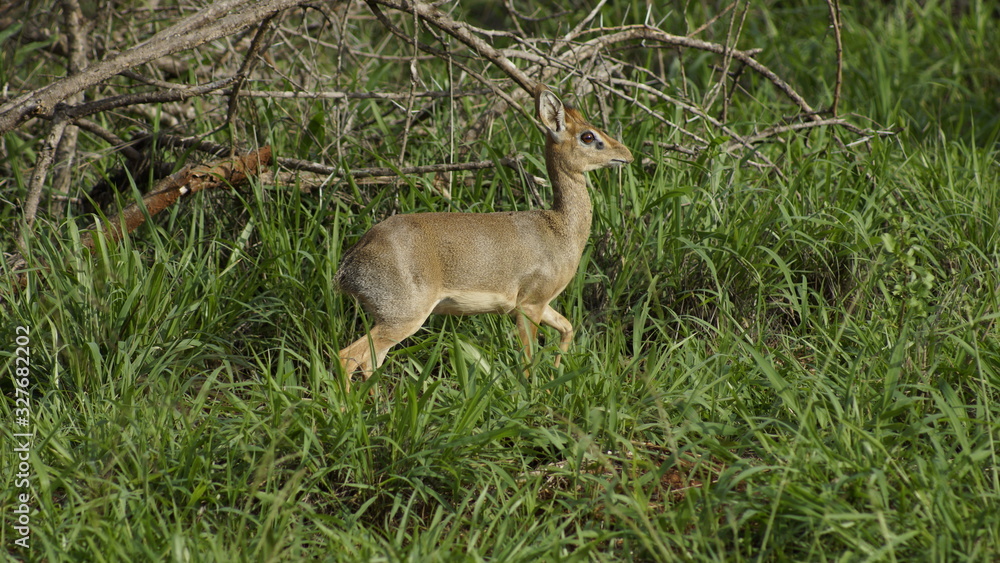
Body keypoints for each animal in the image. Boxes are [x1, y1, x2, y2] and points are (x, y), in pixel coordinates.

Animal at [335, 86, 633, 391]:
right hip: (403, 317)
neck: (558, 228)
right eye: (588, 136)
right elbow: (528, 361)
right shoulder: (529, 305)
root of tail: (350, 263)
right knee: (348, 356)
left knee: (370, 362)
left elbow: (568, 329)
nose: (627, 154)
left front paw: (556, 376)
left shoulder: (541, 305)